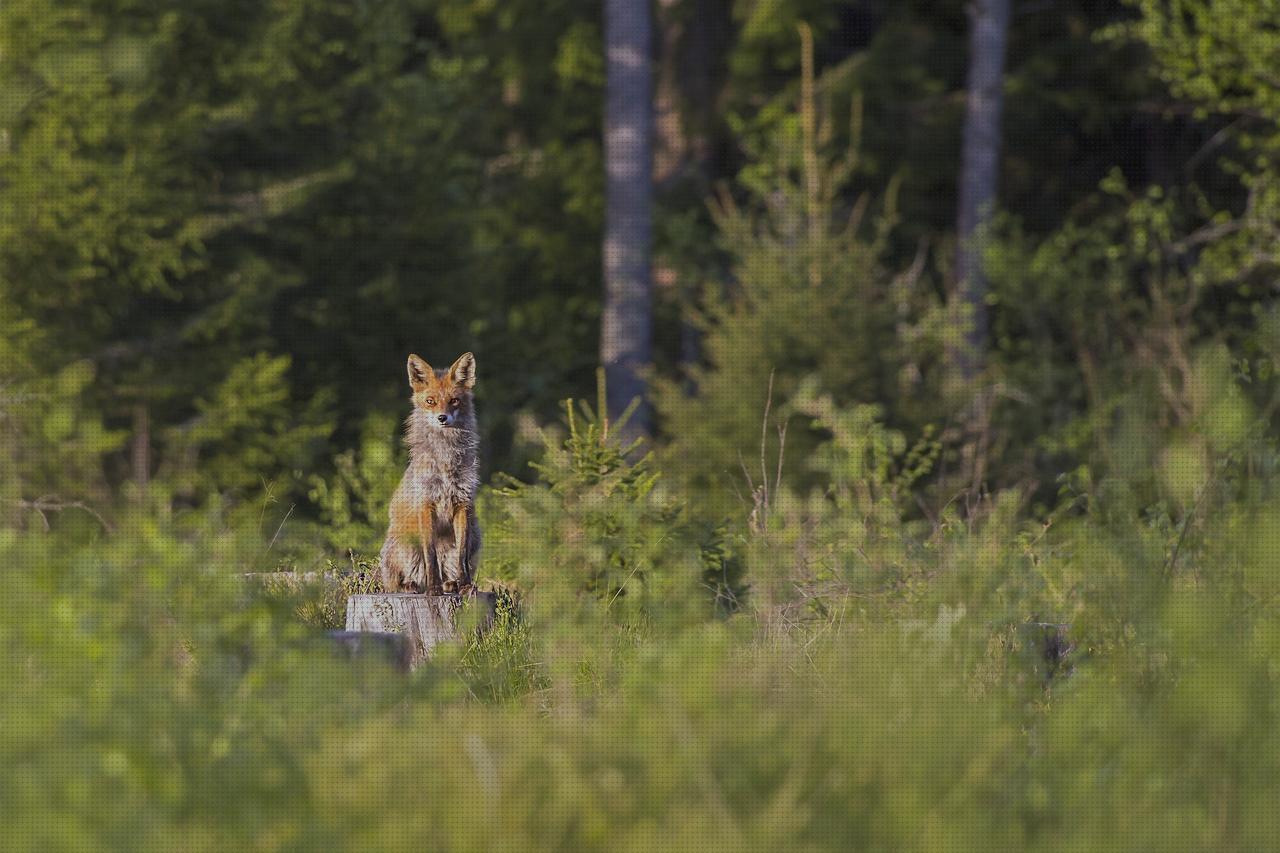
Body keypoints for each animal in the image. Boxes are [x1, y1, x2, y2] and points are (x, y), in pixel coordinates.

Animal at [378, 348, 483, 594]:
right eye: (430, 401)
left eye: (454, 401)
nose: (442, 418)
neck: (445, 461)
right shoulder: (426, 504)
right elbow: (430, 555)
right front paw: (433, 589)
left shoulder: (462, 503)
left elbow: (461, 556)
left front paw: (465, 585)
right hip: (403, 543)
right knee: (397, 581)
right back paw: (412, 585)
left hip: (475, 534)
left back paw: (451, 583)